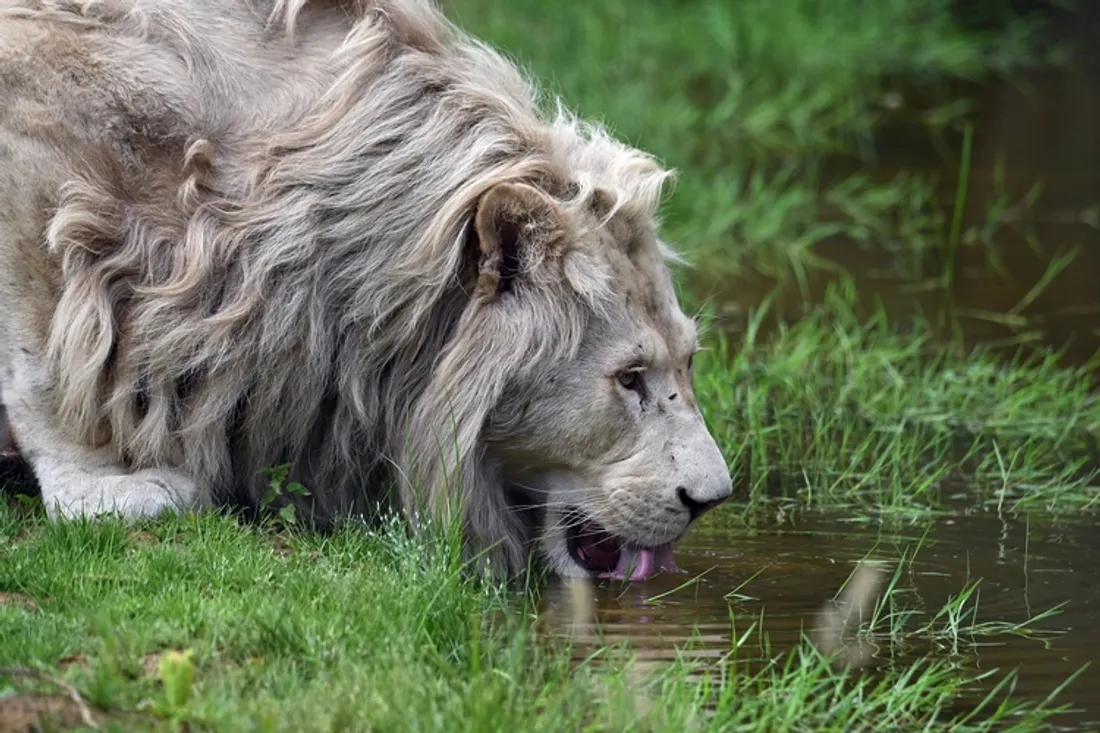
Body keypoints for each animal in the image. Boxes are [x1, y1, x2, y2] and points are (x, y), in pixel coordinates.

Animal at [0, 0, 732, 582]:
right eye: (629, 378)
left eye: (688, 363)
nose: (714, 499)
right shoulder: (37, 148)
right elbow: (41, 349)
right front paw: (102, 487)